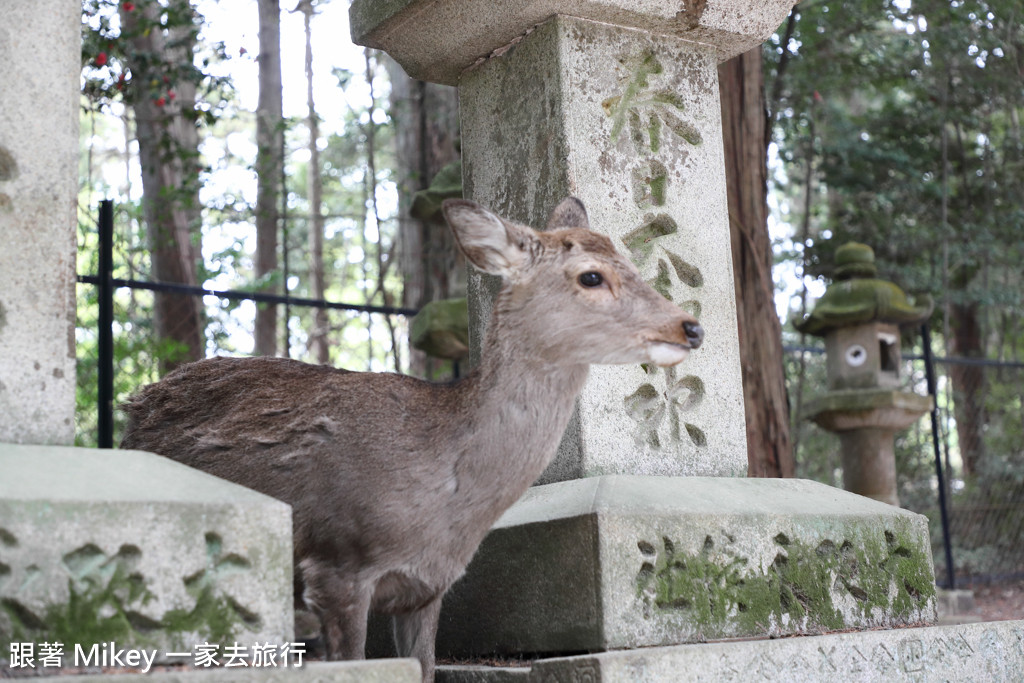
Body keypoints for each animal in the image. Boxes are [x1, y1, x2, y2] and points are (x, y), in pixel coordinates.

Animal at [116, 194, 700, 679]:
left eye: (631, 262)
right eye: (591, 277)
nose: (690, 326)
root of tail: (132, 405)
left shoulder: (427, 588)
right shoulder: (337, 563)